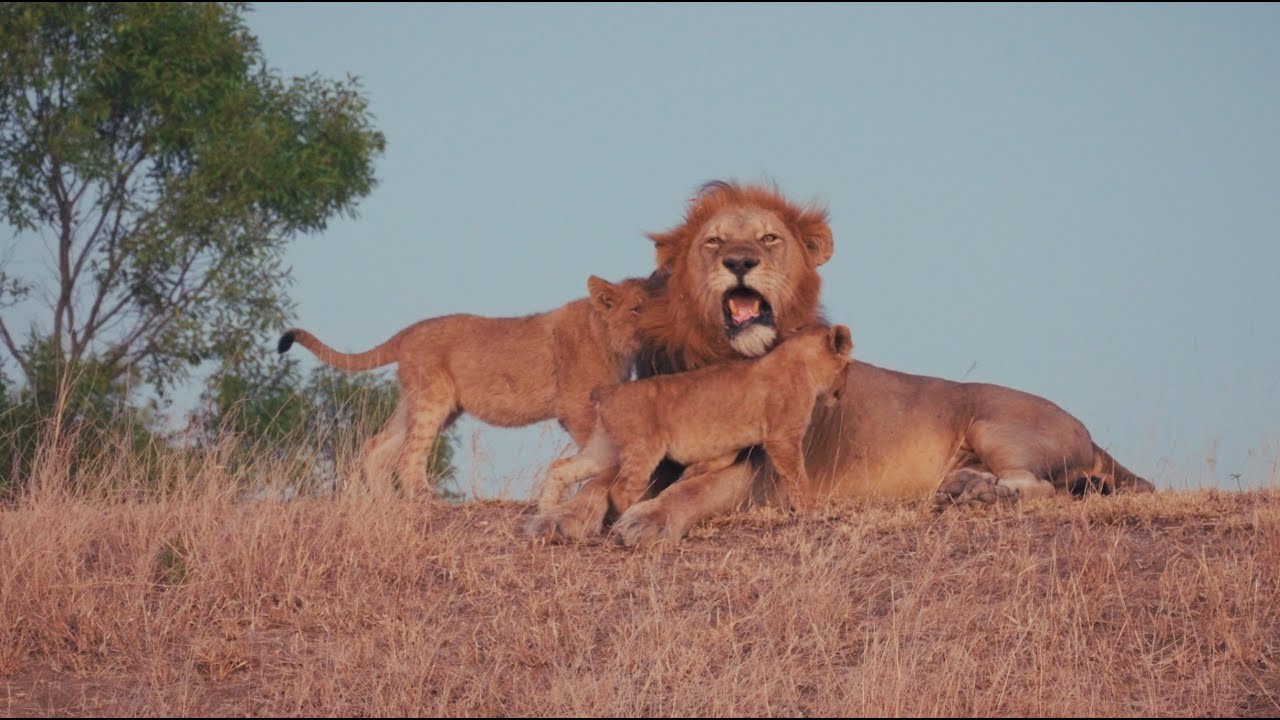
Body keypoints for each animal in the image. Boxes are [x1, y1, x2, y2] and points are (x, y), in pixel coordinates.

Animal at [278, 275, 649, 496]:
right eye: (636, 308)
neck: (612, 342)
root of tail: (412, 329)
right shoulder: (575, 407)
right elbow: (600, 451)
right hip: (433, 400)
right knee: (409, 455)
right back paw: (423, 498)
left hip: (422, 403)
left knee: (377, 446)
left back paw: (384, 503)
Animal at [538, 324, 854, 513]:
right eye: (848, 367)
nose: (842, 394)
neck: (802, 363)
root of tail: (606, 391)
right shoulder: (782, 437)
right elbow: (798, 475)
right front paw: (810, 508)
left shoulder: (730, 444)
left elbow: (719, 460)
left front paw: (691, 473)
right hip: (644, 448)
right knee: (621, 490)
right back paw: (630, 516)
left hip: (604, 449)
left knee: (561, 467)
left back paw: (546, 507)